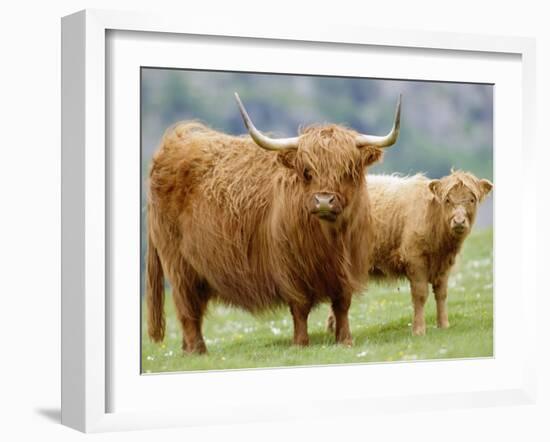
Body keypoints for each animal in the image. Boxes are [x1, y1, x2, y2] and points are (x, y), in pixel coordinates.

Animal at [147, 92, 404, 352]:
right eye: (307, 172)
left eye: (347, 171)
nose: (323, 201)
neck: (329, 240)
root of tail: (173, 142)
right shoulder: (290, 268)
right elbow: (300, 308)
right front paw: (300, 343)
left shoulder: (348, 269)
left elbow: (342, 305)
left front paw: (345, 340)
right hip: (179, 265)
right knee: (187, 309)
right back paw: (198, 350)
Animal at [328, 169, 496, 334]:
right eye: (447, 200)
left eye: (472, 200)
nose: (459, 221)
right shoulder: (415, 260)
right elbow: (420, 295)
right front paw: (419, 329)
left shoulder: (444, 265)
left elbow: (441, 294)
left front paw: (443, 324)